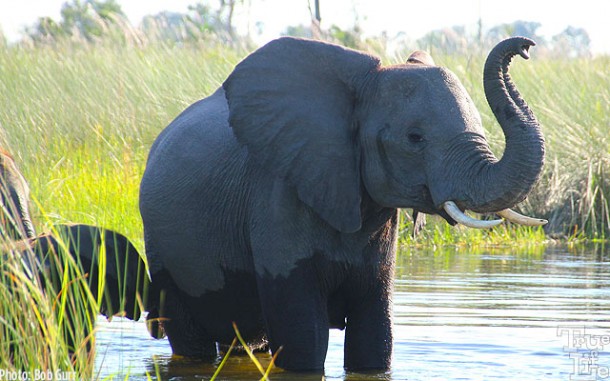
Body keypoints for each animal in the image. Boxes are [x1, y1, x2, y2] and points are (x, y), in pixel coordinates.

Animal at [139, 37, 548, 370]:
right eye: (414, 138)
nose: (527, 46)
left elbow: (375, 337)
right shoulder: (278, 197)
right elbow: (305, 340)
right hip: (162, 249)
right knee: (191, 340)